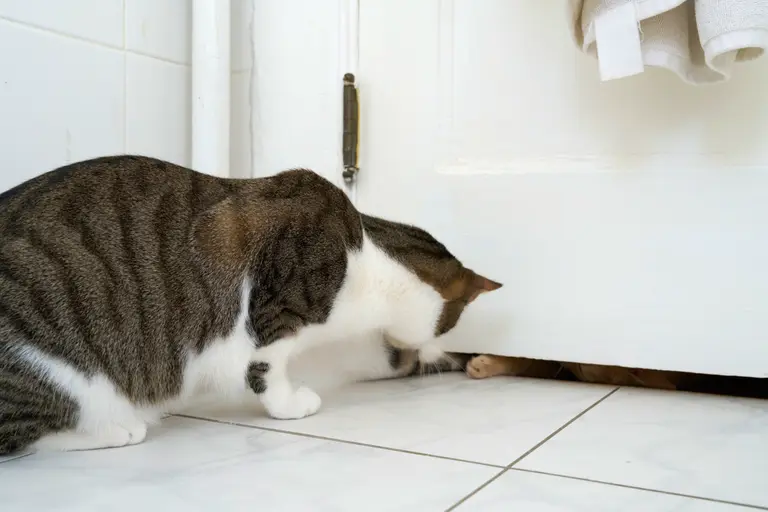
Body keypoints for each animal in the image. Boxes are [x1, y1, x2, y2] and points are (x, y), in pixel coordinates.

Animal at [0, 154, 500, 454]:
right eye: (450, 323)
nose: (437, 348)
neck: (365, 255)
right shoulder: (274, 310)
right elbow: (265, 369)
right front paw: (290, 403)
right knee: (20, 435)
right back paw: (116, 428)